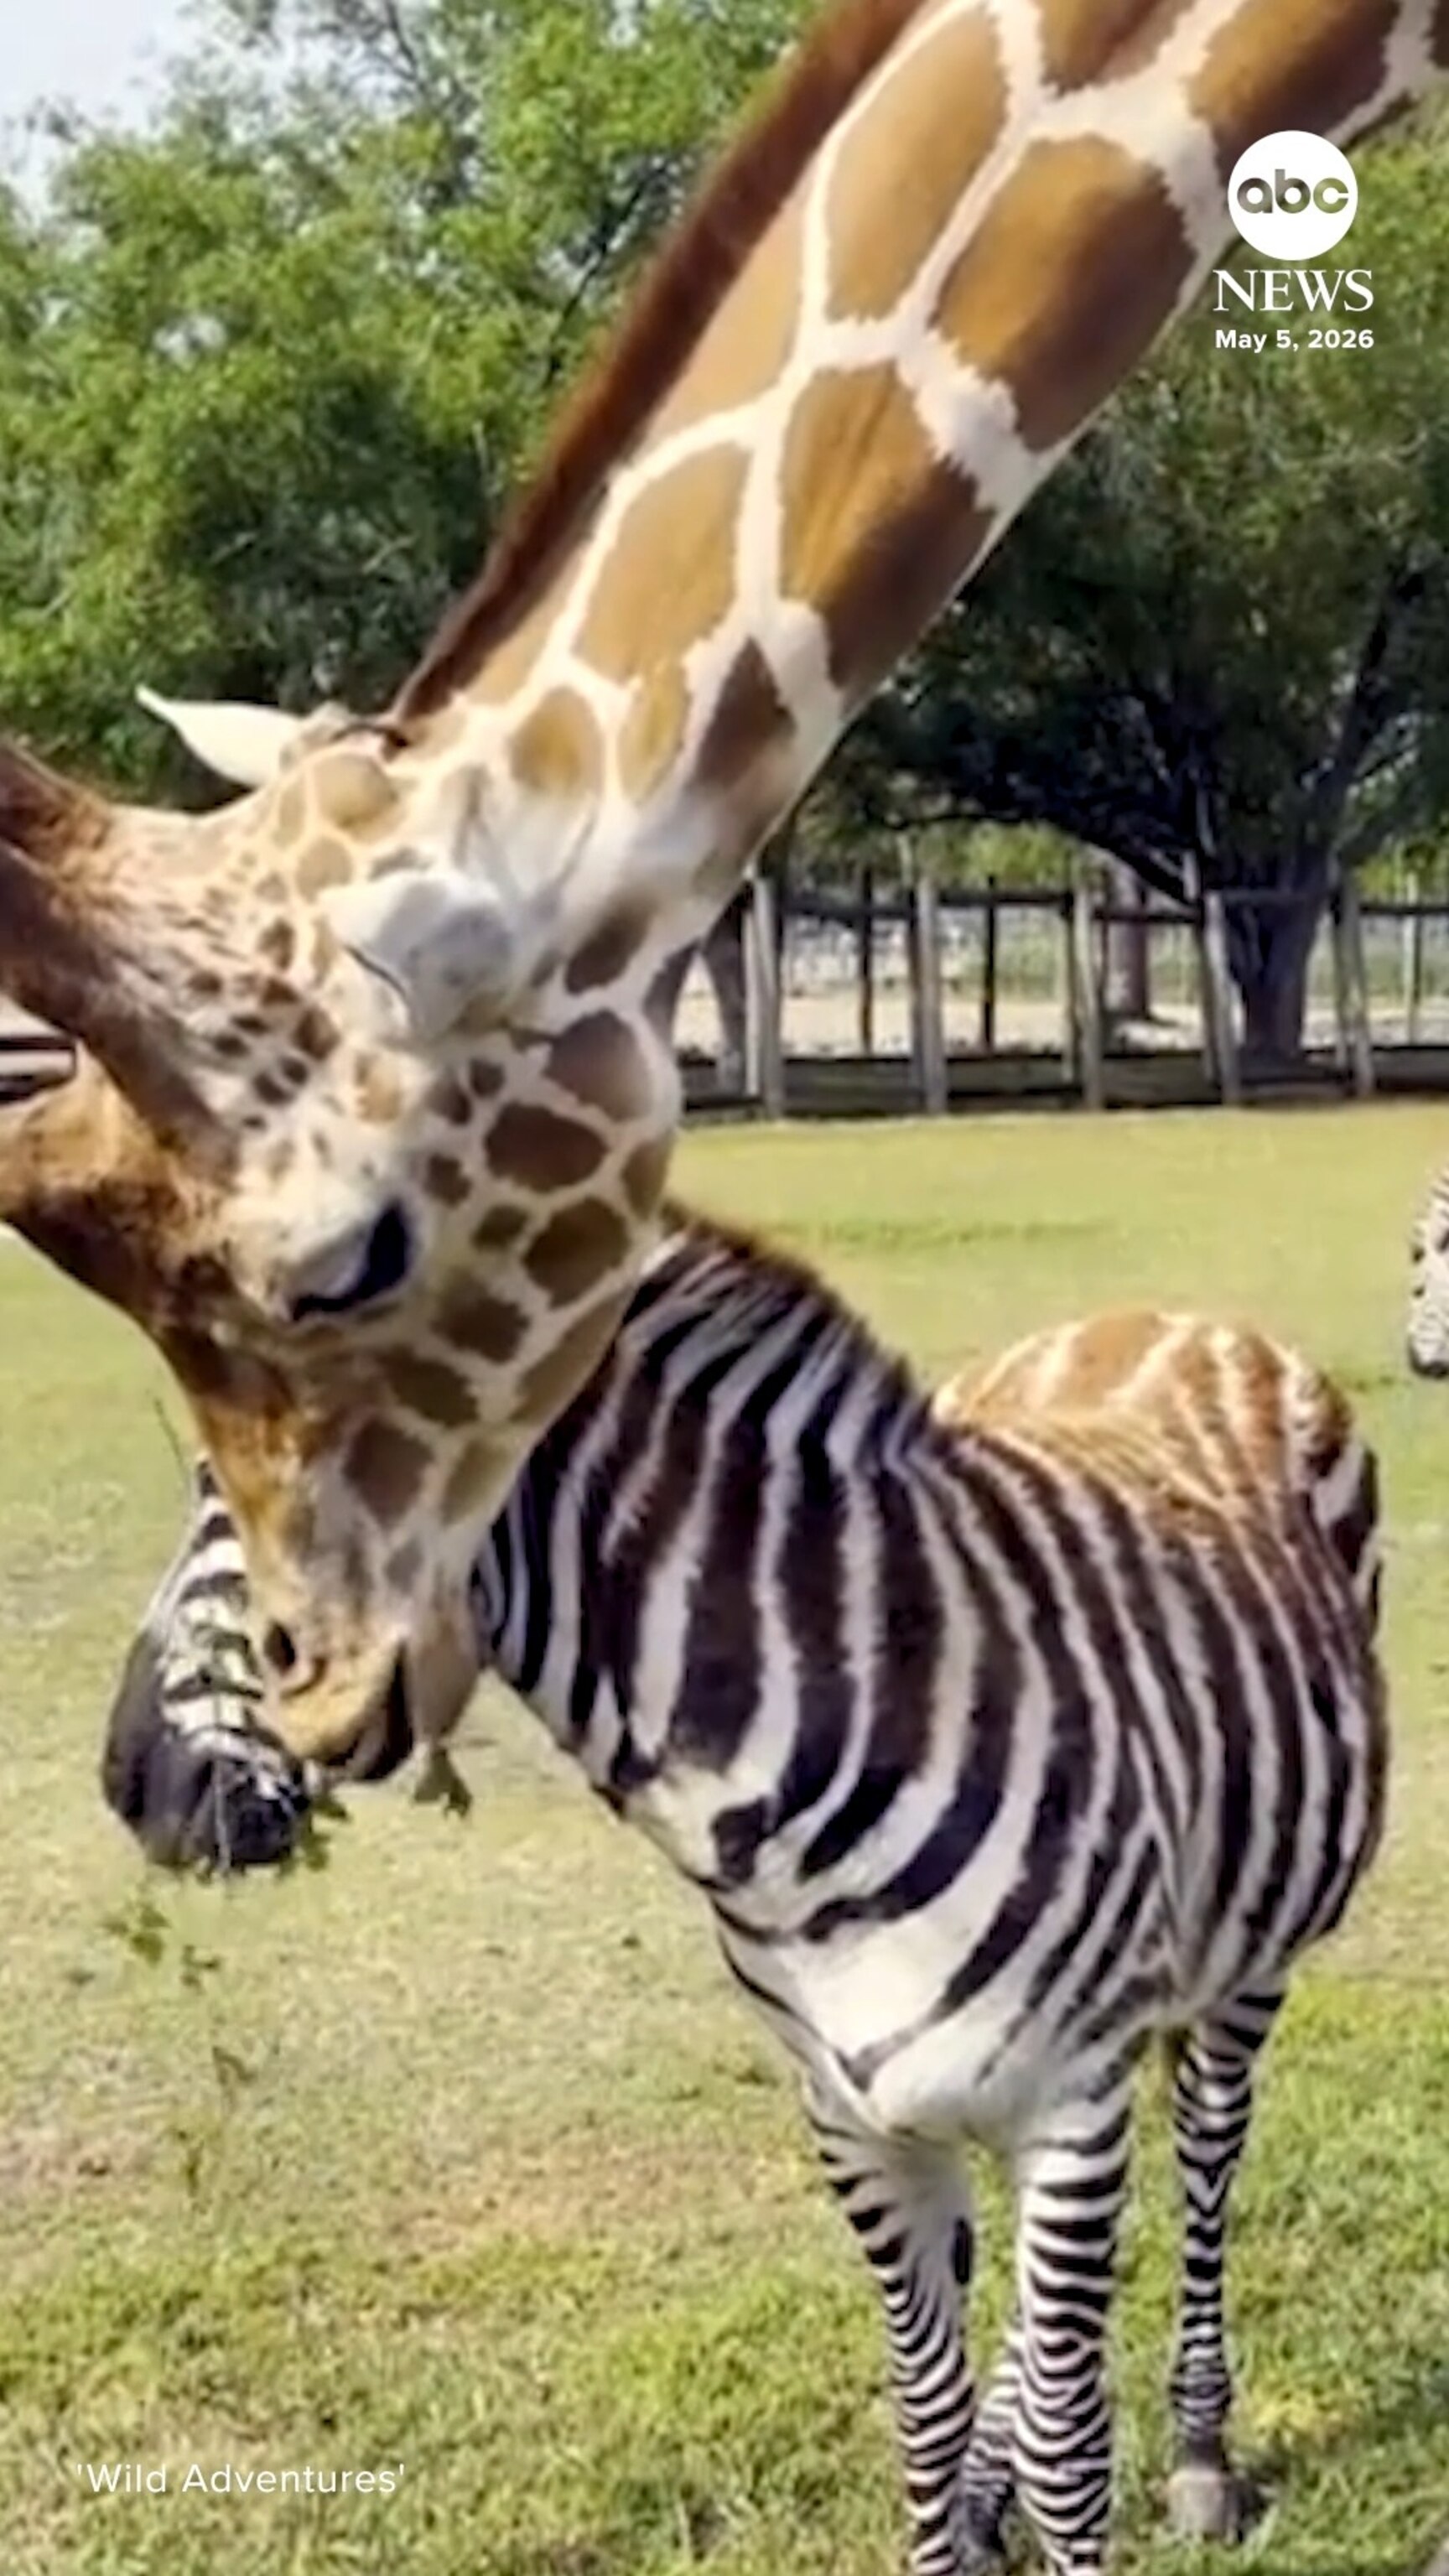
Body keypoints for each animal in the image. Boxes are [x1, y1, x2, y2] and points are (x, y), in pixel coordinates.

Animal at [101, 1209, 1385, 2576]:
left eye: (263, 1485)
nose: (130, 1781)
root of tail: (1176, 1319)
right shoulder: (852, 2114)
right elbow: (928, 2418)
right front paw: (962, 2502)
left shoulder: (1072, 2101)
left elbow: (1069, 2448)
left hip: (1248, 1970)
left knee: (1207, 2156)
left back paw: (1200, 2452)